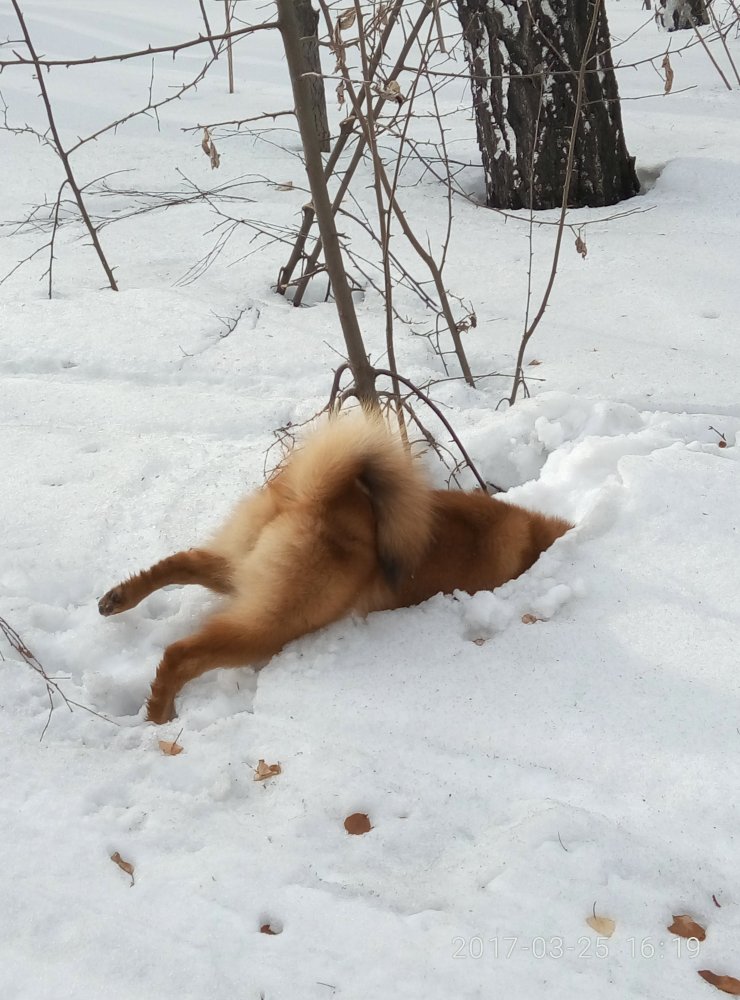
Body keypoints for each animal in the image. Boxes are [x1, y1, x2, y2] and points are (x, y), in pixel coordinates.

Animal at [98, 411, 571, 723]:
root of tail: (319, 495)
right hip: (281, 620)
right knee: (181, 654)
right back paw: (158, 713)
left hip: (246, 574)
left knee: (183, 561)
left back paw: (119, 599)